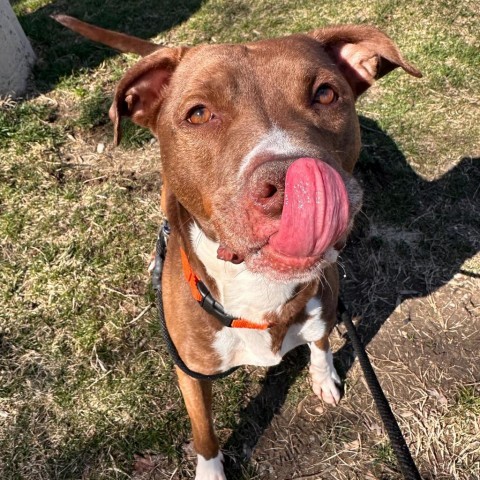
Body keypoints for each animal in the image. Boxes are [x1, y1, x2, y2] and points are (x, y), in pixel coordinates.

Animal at [53, 15, 420, 480]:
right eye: (198, 113)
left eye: (325, 93)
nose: (291, 183)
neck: (259, 291)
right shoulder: (190, 373)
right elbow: (204, 433)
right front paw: (211, 471)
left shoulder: (325, 298)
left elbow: (320, 343)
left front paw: (324, 378)